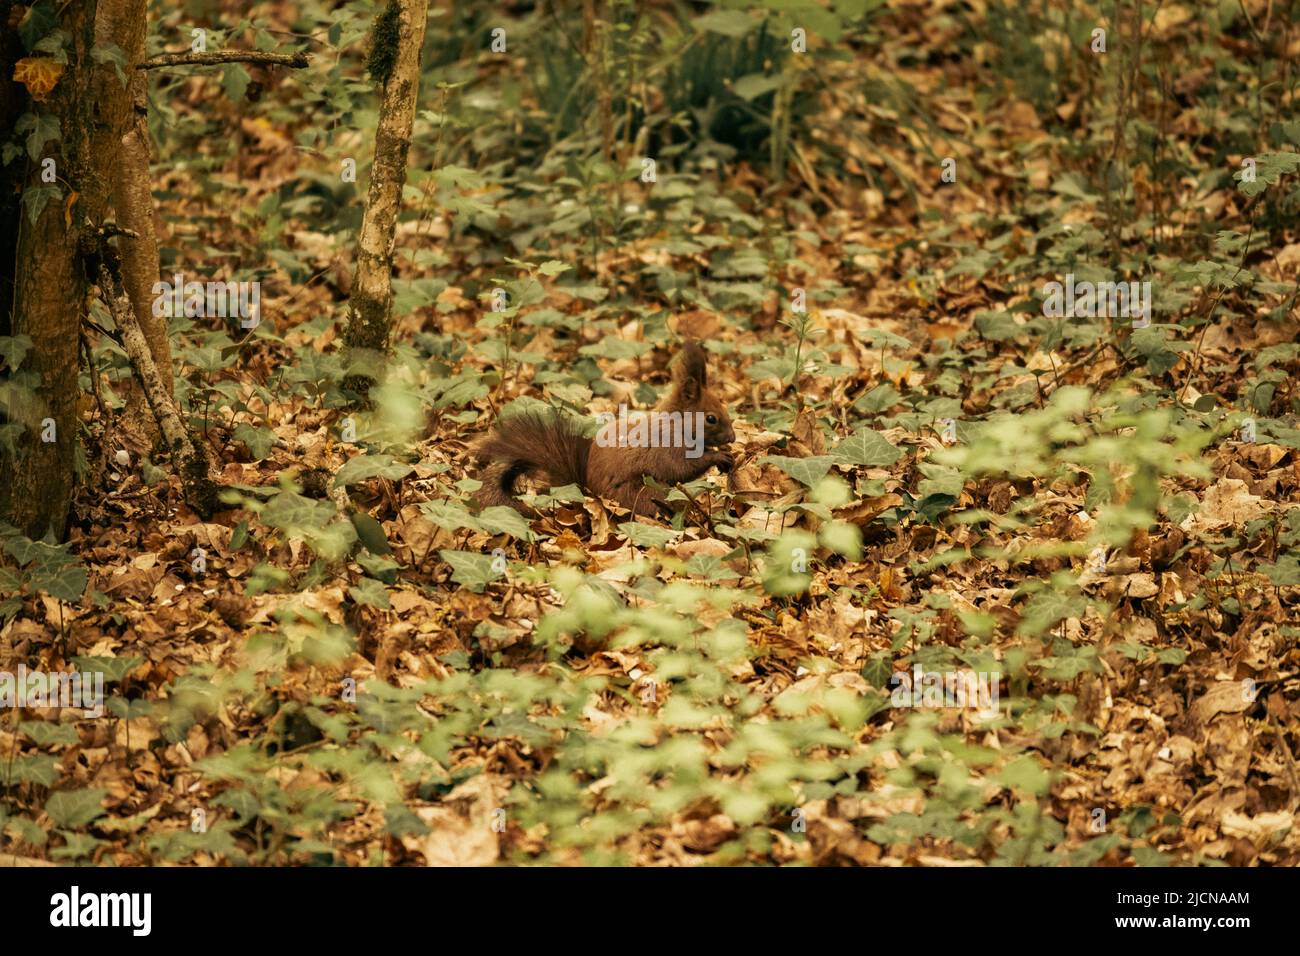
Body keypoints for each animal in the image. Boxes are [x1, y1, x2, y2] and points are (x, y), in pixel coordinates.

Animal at [472, 340, 736, 517]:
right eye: (711, 418)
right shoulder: (666, 447)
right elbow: (681, 468)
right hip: (644, 493)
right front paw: (718, 457)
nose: (733, 438)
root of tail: (587, 491)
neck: (676, 423)